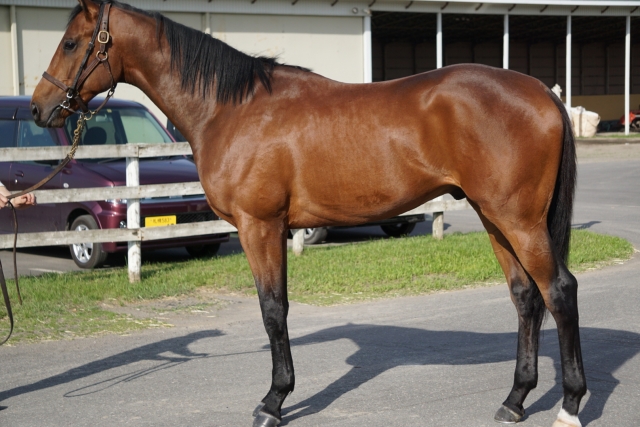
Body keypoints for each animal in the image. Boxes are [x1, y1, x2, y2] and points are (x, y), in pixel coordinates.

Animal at [31, 0, 584, 427]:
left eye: (72, 43)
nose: (39, 108)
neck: (233, 109)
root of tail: (542, 93)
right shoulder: (274, 229)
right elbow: (277, 307)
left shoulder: (260, 227)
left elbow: (272, 310)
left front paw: (273, 401)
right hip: (496, 219)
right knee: (526, 298)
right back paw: (514, 401)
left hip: (518, 221)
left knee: (559, 291)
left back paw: (570, 404)